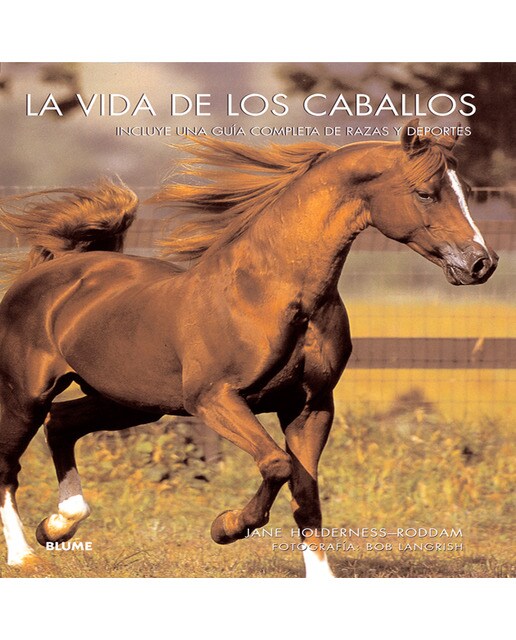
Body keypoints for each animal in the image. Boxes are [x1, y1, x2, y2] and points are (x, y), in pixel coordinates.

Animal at [0, 119, 498, 578]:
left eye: (468, 191)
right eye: (426, 193)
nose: (481, 263)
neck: (272, 295)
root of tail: (52, 269)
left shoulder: (311, 406)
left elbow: (306, 491)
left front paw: (321, 578)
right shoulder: (215, 399)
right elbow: (278, 465)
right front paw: (226, 526)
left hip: (129, 402)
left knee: (61, 424)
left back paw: (59, 525)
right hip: (26, 396)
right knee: (10, 463)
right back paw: (25, 555)